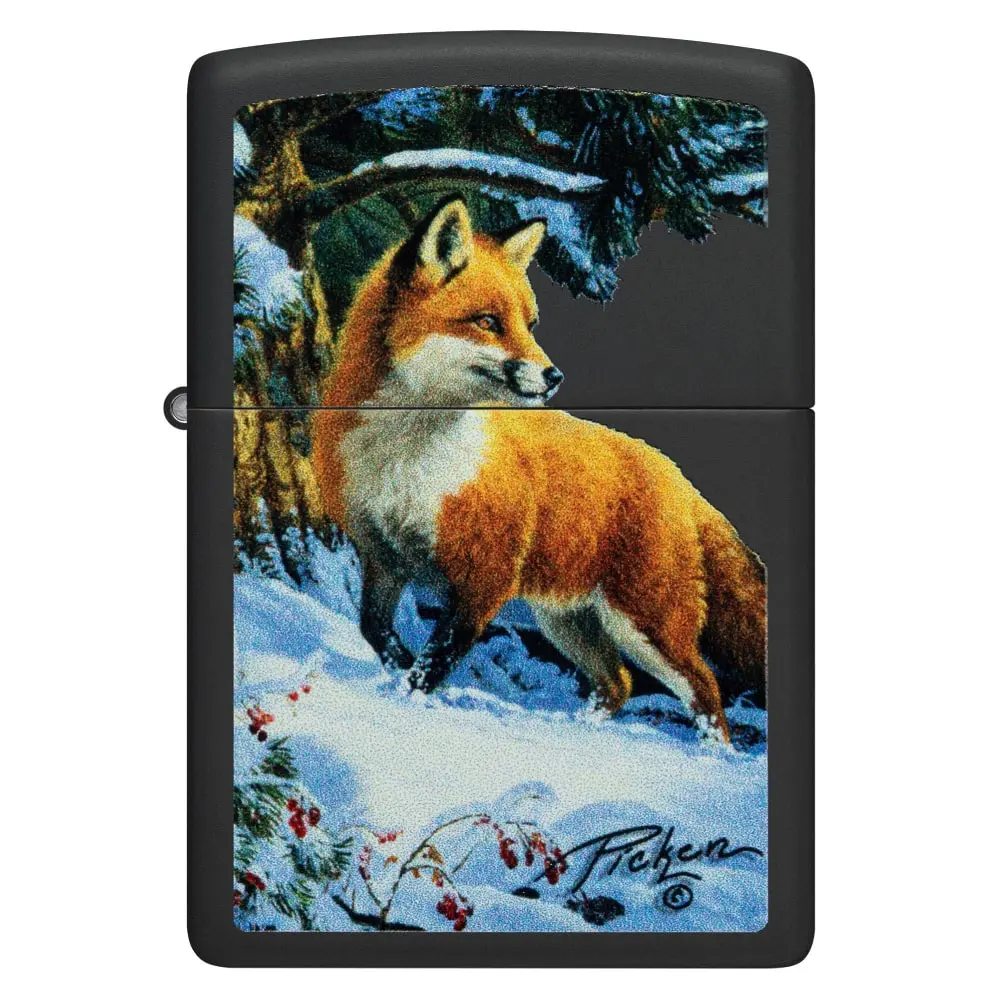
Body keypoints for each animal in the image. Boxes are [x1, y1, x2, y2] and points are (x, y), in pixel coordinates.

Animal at [313, 196, 766, 743]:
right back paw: (578, 730)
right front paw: (395, 673)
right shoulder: (382, 558)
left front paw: (405, 702)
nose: (555, 376)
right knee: (617, 683)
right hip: (566, 621)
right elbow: (375, 632)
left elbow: (435, 660)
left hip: (643, 623)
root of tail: (674, 473)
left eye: (529, 324)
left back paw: (714, 752)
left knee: (705, 690)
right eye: (488, 321)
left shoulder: (485, 578)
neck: (406, 460)